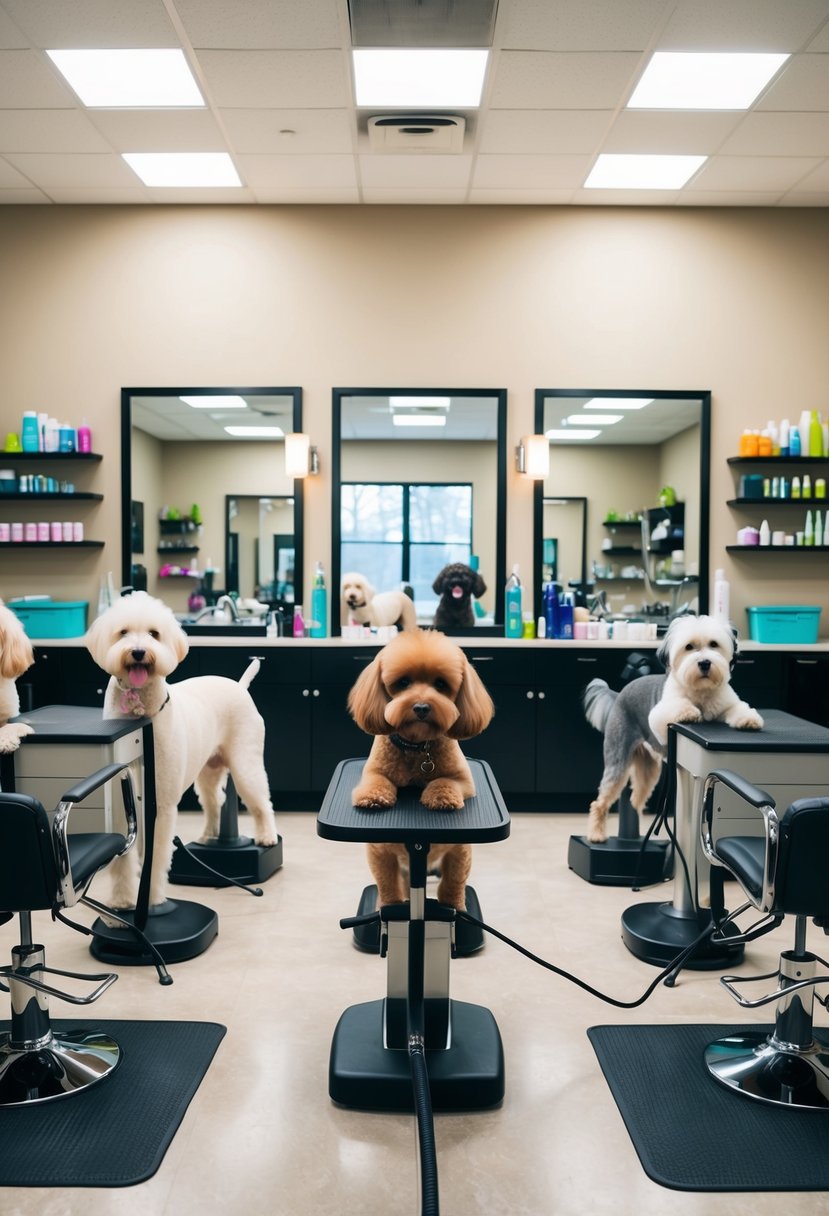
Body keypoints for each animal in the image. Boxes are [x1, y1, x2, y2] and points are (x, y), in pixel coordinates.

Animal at [85, 593, 275, 909]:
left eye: (154, 634)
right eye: (123, 632)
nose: (138, 652)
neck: (140, 717)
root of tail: (240, 686)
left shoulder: (160, 805)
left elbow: (156, 856)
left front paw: (151, 900)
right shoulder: (124, 804)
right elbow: (124, 857)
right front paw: (123, 900)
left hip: (245, 763)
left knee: (262, 802)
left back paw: (267, 836)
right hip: (208, 772)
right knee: (215, 802)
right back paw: (209, 835)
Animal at [342, 632, 491, 909]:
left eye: (441, 684)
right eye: (403, 682)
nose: (421, 706)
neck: (417, 747)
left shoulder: (464, 782)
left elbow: (445, 782)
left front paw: (440, 798)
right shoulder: (374, 774)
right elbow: (388, 887)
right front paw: (372, 798)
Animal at [581, 617, 763, 846]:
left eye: (714, 644)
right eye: (689, 647)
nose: (704, 663)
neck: (701, 692)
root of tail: (618, 694)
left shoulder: (727, 703)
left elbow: (738, 709)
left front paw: (749, 719)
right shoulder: (659, 715)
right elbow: (679, 707)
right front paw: (690, 712)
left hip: (649, 768)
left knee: (635, 797)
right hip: (618, 757)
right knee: (600, 801)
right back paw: (596, 834)